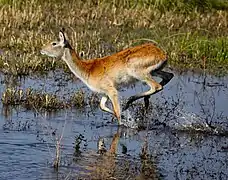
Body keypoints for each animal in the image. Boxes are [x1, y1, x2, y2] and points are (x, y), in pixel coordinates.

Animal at [40, 29, 173, 125]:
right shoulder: (104, 93)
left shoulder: (112, 90)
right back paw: (142, 101)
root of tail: (163, 54)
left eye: (54, 43)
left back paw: (130, 101)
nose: (41, 50)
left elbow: (117, 113)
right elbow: (102, 106)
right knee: (169, 76)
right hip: (155, 71)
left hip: (139, 72)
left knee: (157, 86)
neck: (88, 69)